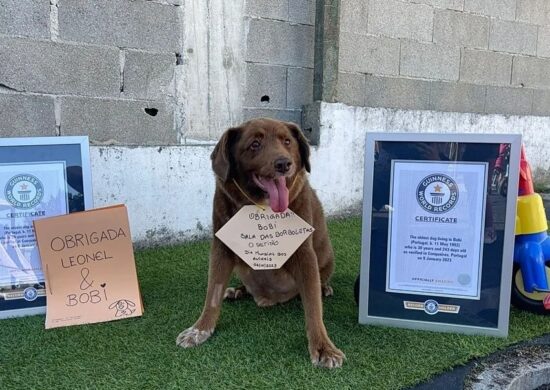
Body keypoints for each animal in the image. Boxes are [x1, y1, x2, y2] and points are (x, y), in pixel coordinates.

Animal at [177, 117, 344, 368]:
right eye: (254, 144)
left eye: (287, 141)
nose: (284, 163)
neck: (260, 207)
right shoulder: (221, 247)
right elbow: (212, 293)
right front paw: (200, 329)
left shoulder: (304, 252)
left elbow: (313, 306)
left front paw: (323, 347)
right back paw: (237, 291)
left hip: (327, 257)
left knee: (318, 283)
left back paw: (324, 288)